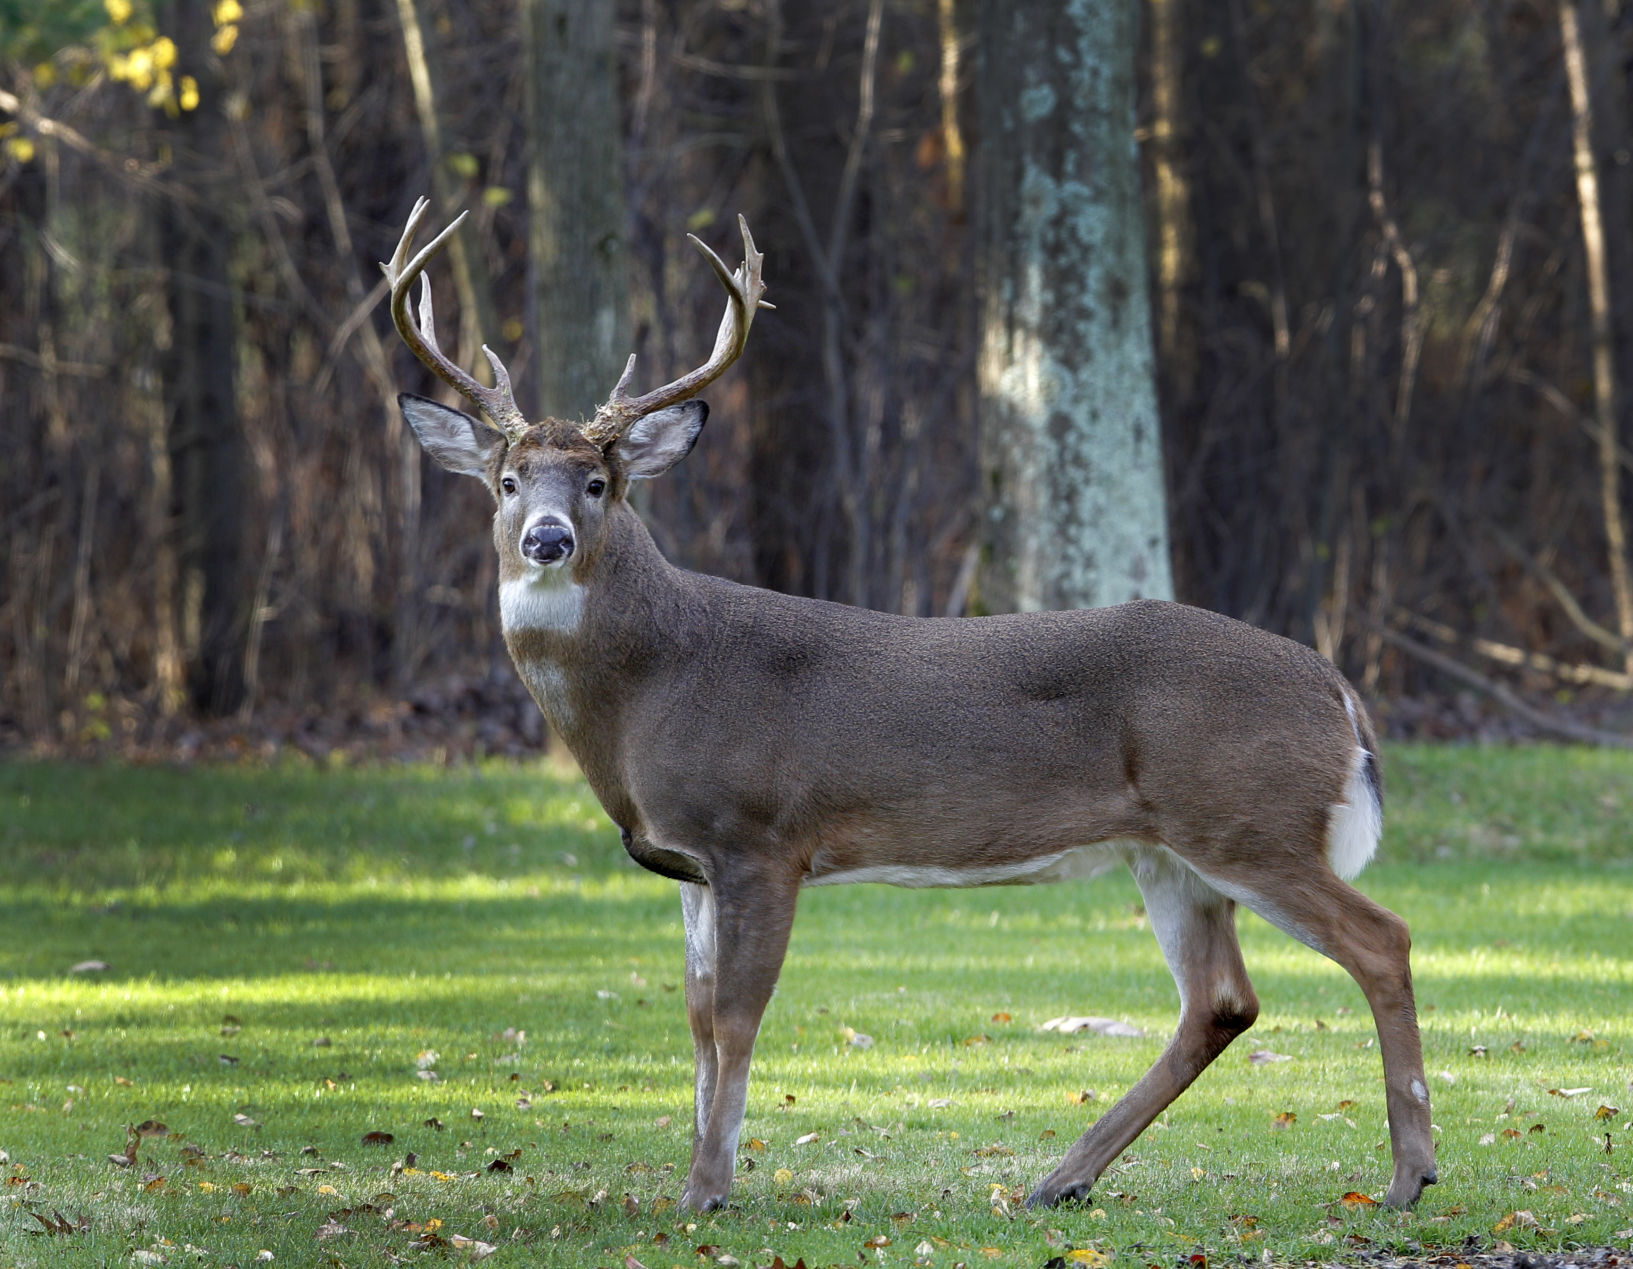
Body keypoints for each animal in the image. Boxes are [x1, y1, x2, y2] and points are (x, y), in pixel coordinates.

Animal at [385, 197, 1443, 1208]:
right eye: (507, 481)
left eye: (600, 481)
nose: (548, 538)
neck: (652, 687)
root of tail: (1339, 693)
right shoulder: (689, 861)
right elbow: (692, 1019)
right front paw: (692, 1174)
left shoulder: (763, 836)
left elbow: (736, 1016)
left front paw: (708, 1189)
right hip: (1171, 851)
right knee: (1220, 1000)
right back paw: (1060, 1178)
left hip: (1245, 818)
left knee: (1379, 938)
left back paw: (1406, 1175)